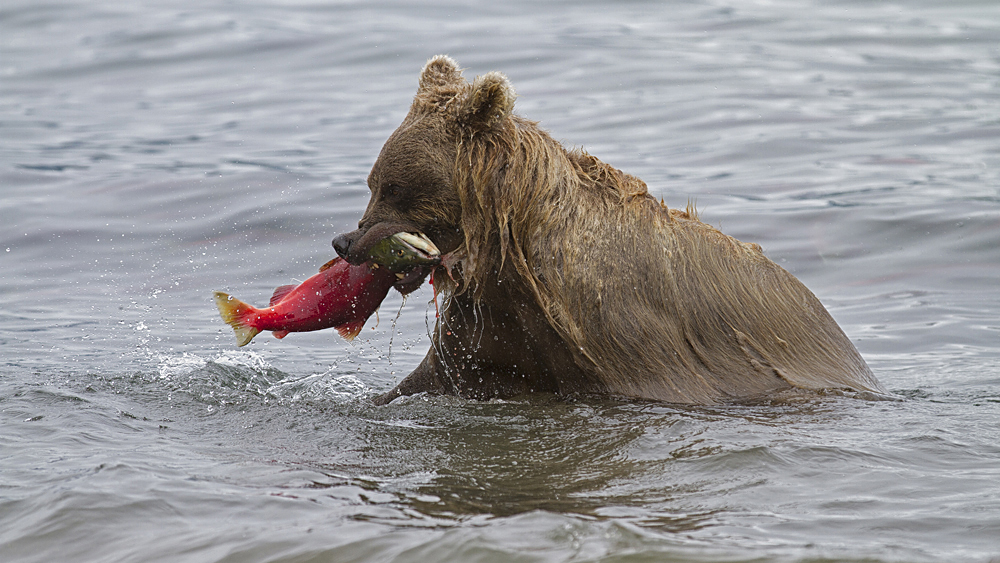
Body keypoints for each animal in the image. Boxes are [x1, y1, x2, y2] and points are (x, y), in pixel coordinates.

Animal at [332, 55, 888, 404]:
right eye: (373, 183)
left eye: (394, 188)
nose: (346, 241)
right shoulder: (489, 324)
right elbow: (423, 380)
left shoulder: (631, 346)